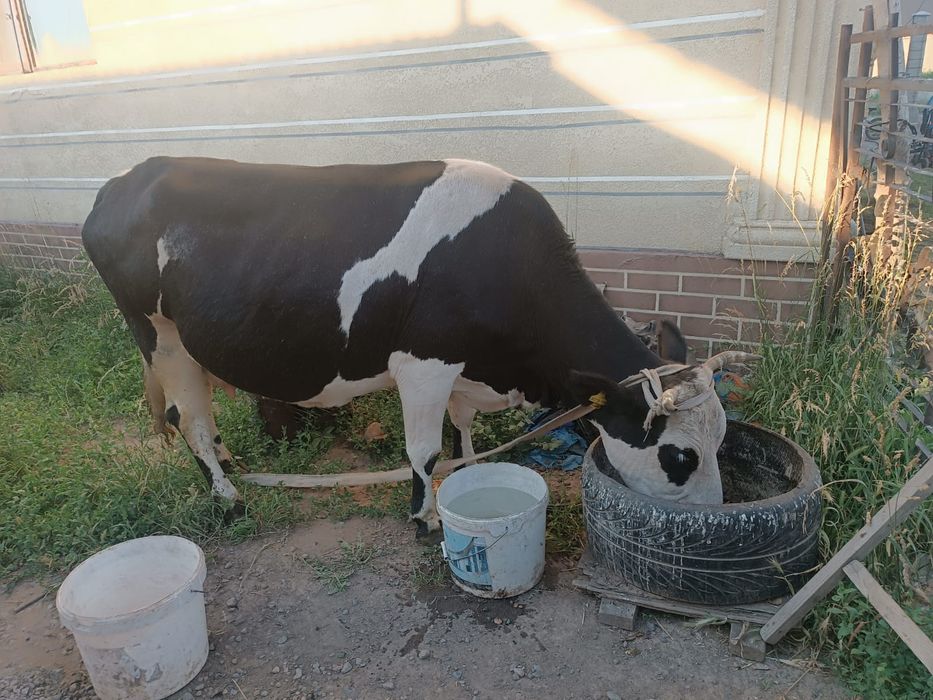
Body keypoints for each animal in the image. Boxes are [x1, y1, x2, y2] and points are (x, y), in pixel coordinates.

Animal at [82, 156, 752, 537]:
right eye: (680, 456)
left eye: (722, 438)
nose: (711, 515)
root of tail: (125, 178)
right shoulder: (425, 362)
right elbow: (424, 450)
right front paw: (425, 515)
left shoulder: (462, 368)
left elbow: (462, 430)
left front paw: (473, 469)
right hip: (159, 336)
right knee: (188, 418)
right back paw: (228, 497)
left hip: (189, 344)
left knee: (203, 416)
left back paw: (233, 464)